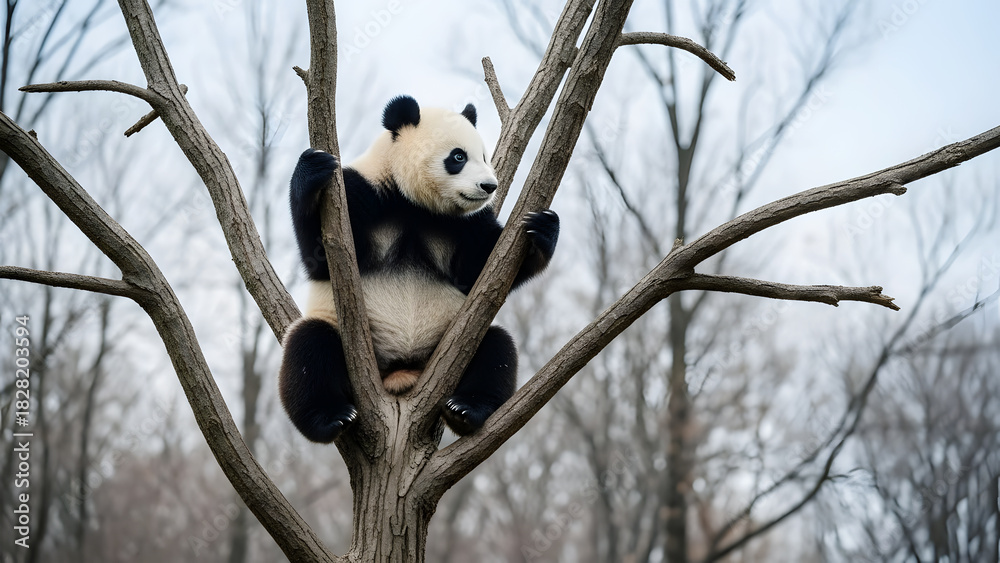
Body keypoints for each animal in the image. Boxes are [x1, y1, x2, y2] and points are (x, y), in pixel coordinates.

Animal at [279, 95, 559, 443]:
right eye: (458, 157)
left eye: (484, 156)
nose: (489, 186)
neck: (415, 204)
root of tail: (401, 374)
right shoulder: (360, 194)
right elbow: (320, 258)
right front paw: (312, 168)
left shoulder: (465, 225)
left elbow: (478, 270)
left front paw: (542, 228)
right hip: (339, 338)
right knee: (310, 347)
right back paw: (329, 418)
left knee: (496, 348)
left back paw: (467, 410)